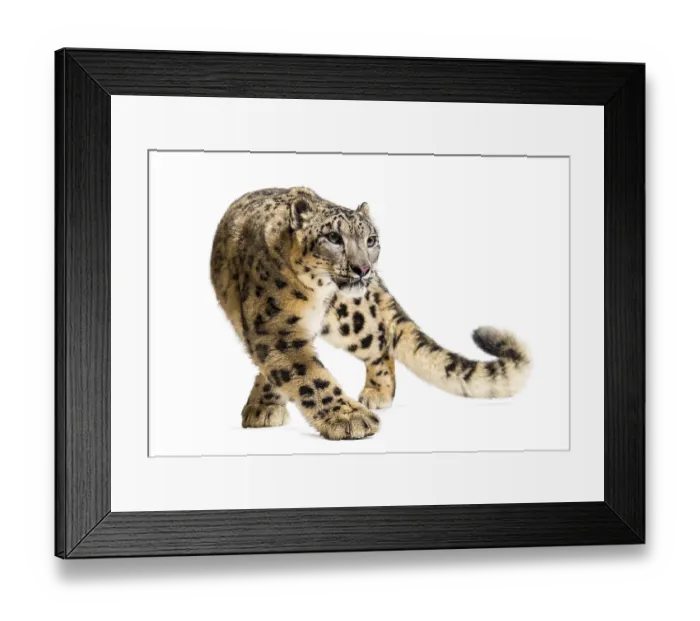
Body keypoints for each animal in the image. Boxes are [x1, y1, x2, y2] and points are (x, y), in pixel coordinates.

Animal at [210, 187, 531, 441]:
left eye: (371, 239)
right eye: (333, 237)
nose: (363, 268)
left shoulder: (282, 332)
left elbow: (304, 372)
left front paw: (352, 418)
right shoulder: (276, 329)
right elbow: (306, 374)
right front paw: (349, 418)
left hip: (350, 317)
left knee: (382, 341)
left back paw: (377, 393)